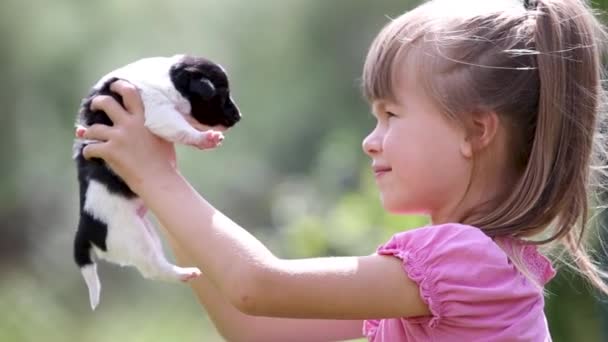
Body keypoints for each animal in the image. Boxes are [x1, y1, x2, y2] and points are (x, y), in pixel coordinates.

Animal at [72, 54, 241, 310]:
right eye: (221, 95)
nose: (239, 117)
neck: (171, 77)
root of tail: (85, 230)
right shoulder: (159, 112)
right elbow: (180, 127)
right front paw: (204, 138)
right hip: (134, 237)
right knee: (153, 269)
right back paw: (184, 274)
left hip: (147, 232)